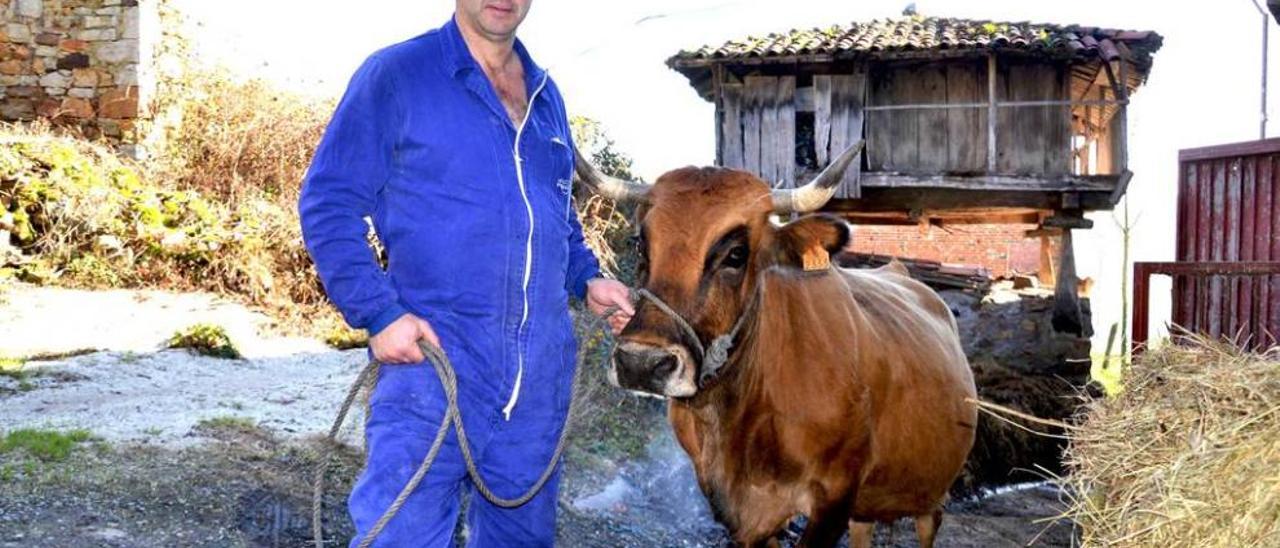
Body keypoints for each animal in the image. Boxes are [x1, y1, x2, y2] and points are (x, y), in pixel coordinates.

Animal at [576, 144, 972, 548]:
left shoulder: (833, 502)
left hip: (931, 493)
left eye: (736, 254)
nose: (640, 363)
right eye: (641, 243)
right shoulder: (738, 515)